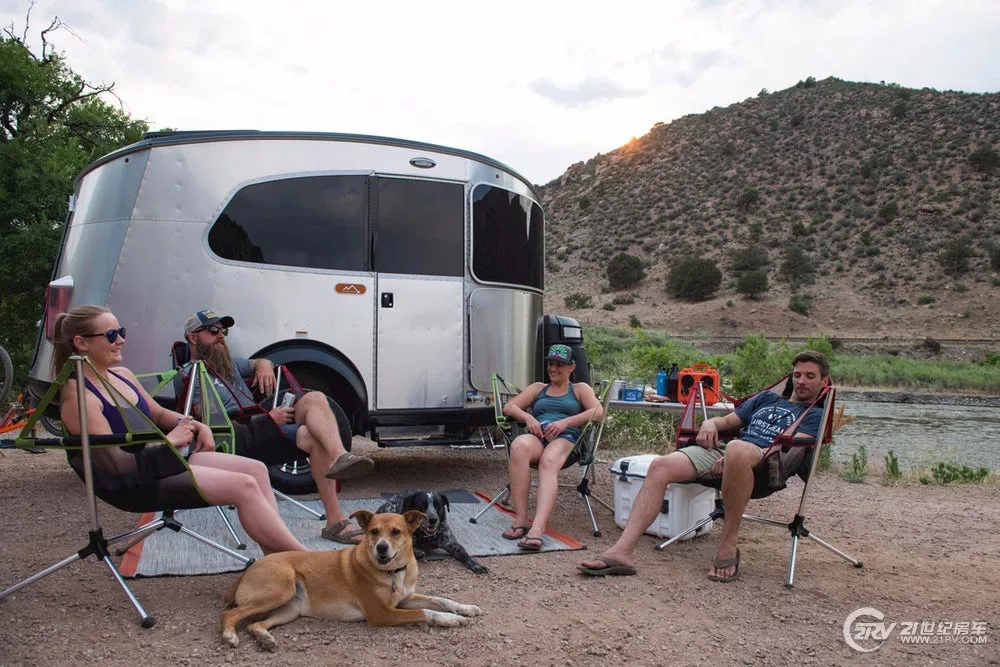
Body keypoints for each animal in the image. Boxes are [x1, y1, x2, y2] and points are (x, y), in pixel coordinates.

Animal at [220, 512, 484, 648]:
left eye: (396, 532)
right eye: (373, 532)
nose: (381, 548)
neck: (393, 573)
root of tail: (250, 567)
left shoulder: (405, 598)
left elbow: (440, 599)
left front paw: (466, 608)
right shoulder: (382, 614)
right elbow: (426, 612)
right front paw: (451, 619)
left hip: (289, 609)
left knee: (255, 624)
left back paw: (264, 638)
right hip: (281, 588)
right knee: (229, 614)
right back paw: (229, 635)